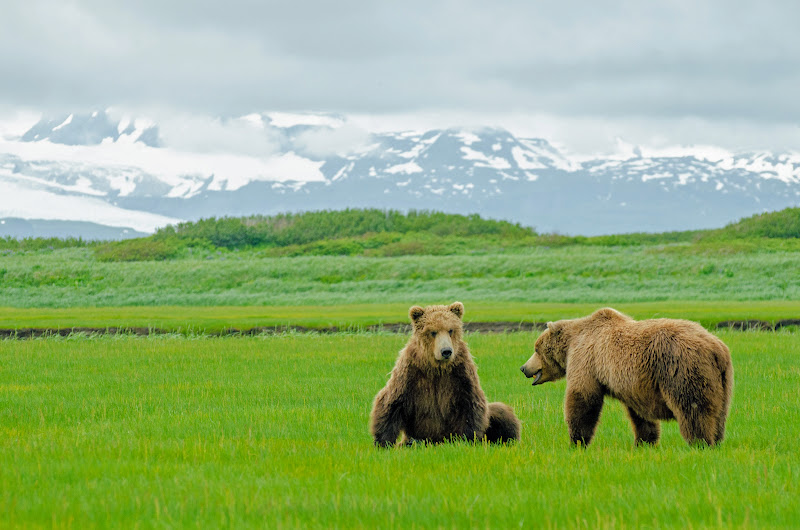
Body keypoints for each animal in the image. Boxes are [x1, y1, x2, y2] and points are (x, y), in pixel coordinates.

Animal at [368, 302, 520, 446]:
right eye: (433, 332)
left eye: (450, 330)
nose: (446, 351)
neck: (437, 367)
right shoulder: (410, 373)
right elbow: (392, 401)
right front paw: (383, 442)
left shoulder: (460, 374)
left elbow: (470, 404)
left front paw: (466, 440)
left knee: (501, 412)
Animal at [520, 306, 736, 446]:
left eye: (536, 348)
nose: (523, 368)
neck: (572, 343)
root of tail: (716, 349)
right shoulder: (636, 385)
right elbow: (640, 415)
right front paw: (644, 441)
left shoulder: (587, 360)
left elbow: (583, 397)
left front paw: (577, 440)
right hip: (723, 380)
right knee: (719, 412)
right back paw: (717, 440)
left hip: (682, 368)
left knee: (693, 407)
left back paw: (700, 442)